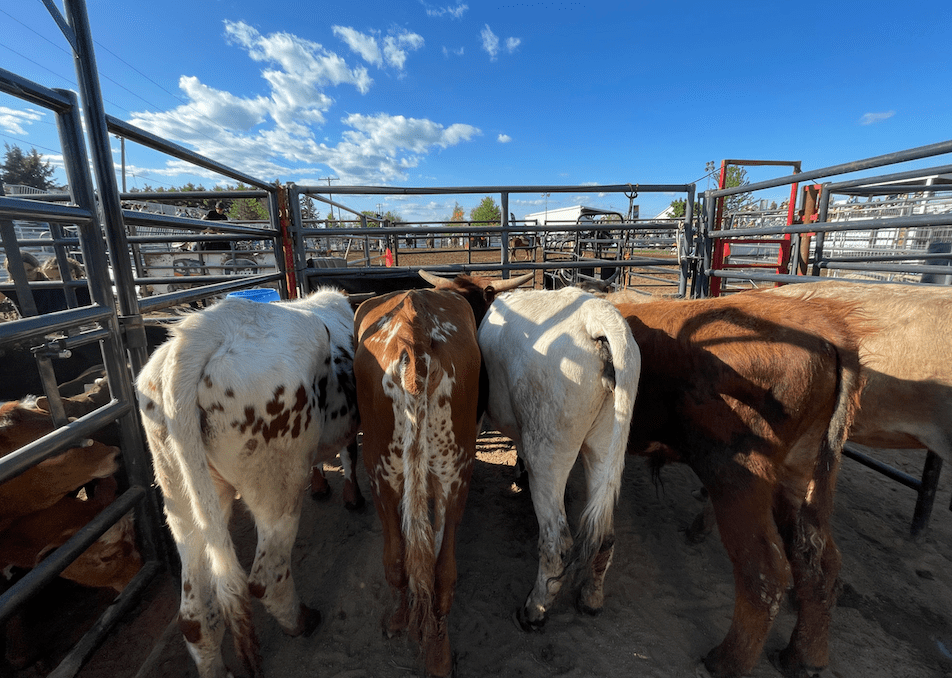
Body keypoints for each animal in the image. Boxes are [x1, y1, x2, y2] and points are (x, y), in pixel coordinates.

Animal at [136, 288, 359, 678]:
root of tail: (203, 330)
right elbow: (350, 453)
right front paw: (352, 495)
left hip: (180, 500)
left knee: (195, 617)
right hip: (278, 487)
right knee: (266, 577)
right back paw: (302, 621)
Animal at [354, 270, 533, 678]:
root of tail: (413, 334)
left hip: (382, 474)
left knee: (402, 561)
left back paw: (406, 625)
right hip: (452, 476)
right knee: (441, 570)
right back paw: (438, 650)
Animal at [477, 286, 640, 631]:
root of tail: (595, 317)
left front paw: (519, 475)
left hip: (547, 450)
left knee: (556, 542)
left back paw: (534, 610)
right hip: (605, 444)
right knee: (604, 535)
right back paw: (591, 598)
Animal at [614, 293, 867, 678]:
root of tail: (826, 330)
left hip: (737, 477)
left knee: (764, 569)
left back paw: (727, 660)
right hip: (797, 481)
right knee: (818, 561)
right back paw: (802, 657)